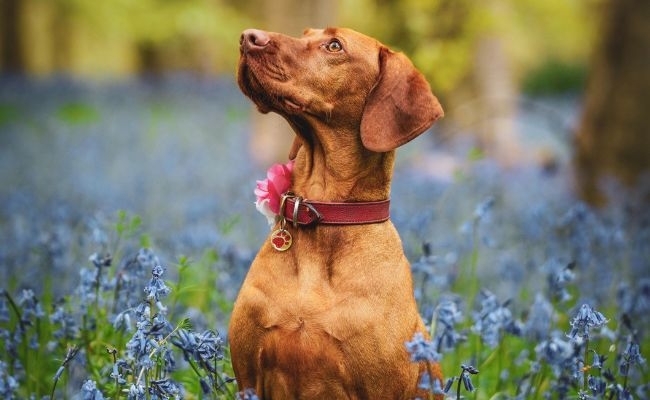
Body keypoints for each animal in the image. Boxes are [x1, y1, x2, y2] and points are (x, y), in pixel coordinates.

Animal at [229, 26, 446, 398]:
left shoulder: (381, 388)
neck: (324, 212)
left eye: (334, 46)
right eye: (305, 33)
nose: (248, 37)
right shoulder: (248, 378)